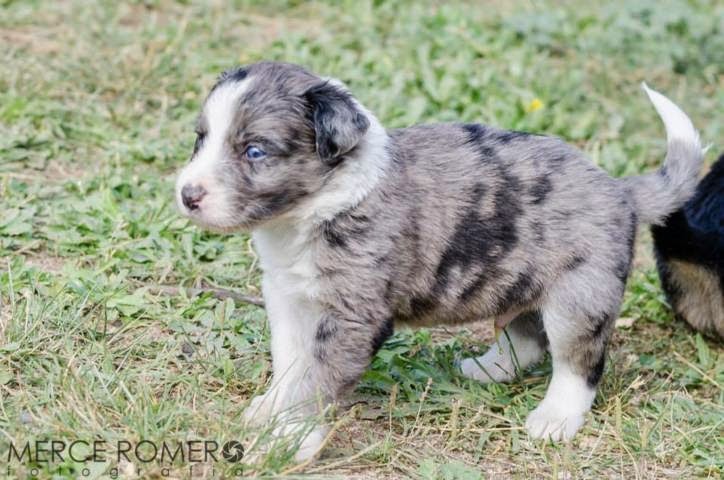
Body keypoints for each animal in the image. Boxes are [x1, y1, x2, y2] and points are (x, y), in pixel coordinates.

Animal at [174, 62, 700, 460]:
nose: (186, 196)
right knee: (528, 336)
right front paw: (270, 409)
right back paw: (487, 369)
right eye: (200, 139)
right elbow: (290, 365)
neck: (314, 210)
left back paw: (554, 419)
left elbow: (317, 382)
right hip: (521, 279)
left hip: (579, 297)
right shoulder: (288, 299)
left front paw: (287, 442)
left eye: (255, 151)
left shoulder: (350, 316)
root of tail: (621, 190)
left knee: (578, 364)